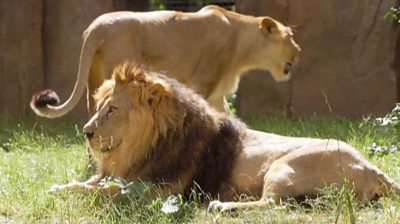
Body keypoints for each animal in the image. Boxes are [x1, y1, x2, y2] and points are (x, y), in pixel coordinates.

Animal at [30, 4, 300, 116]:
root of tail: (95, 28)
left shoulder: (216, 94)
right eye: (290, 37)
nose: (299, 51)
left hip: (92, 82)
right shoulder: (203, 85)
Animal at [50, 62, 400, 212]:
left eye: (112, 110)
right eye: (99, 107)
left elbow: (101, 192)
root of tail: (373, 169)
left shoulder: (159, 191)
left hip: (283, 167)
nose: (87, 133)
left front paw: (72, 193)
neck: (144, 147)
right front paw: (57, 188)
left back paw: (221, 206)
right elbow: (85, 184)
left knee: (273, 206)